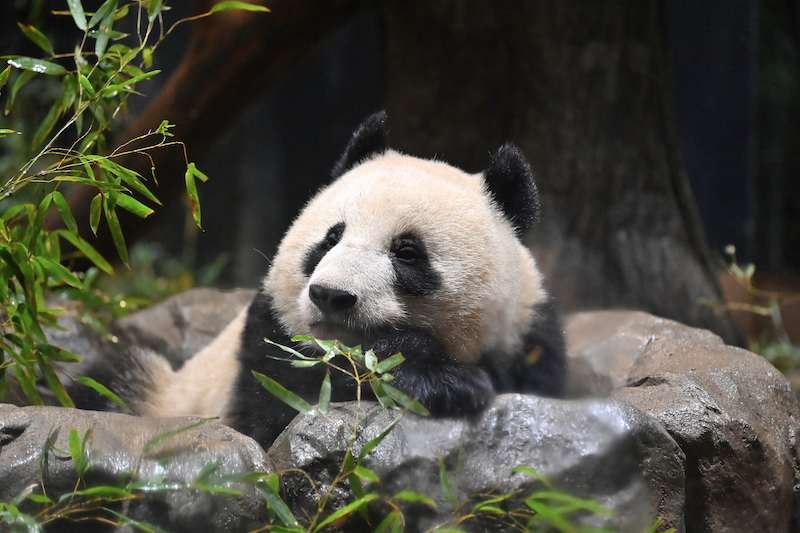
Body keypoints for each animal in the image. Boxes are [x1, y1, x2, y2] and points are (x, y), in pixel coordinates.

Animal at [72, 112, 564, 448]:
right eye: (331, 237)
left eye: (407, 253)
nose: (332, 295)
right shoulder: (267, 339)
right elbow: (283, 409)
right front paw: (445, 383)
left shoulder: (525, 333)